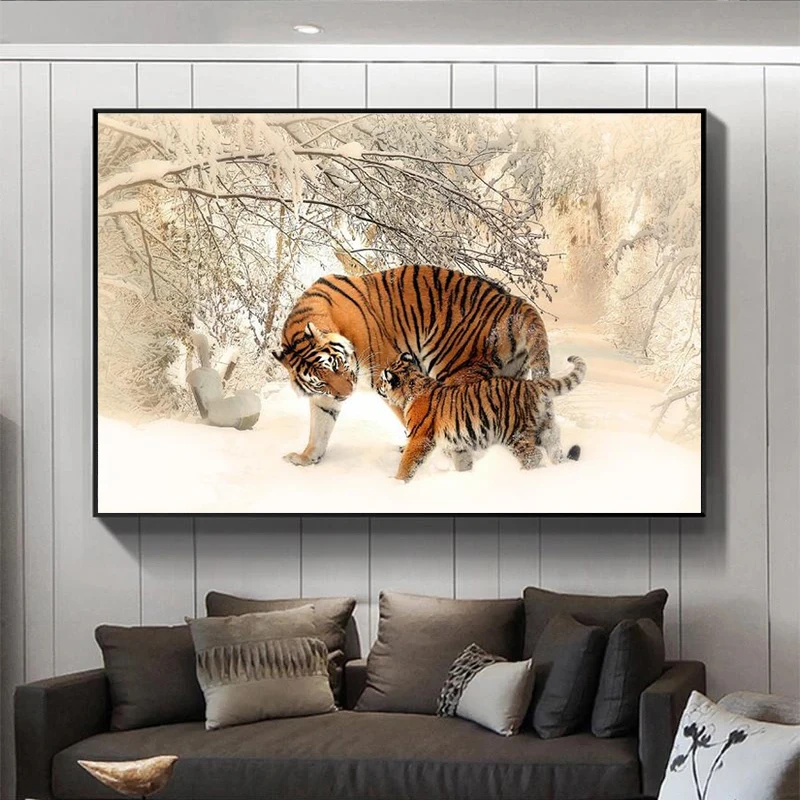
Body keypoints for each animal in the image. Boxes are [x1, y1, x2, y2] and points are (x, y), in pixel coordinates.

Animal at [273, 265, 550, 466]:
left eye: (338, 365)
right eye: (321, 381)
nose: (347, 395)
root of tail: (514, 302)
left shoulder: (385, 371)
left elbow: (410, 417)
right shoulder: (325, 396)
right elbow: (319, 426)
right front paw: (306, 458)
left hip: (456, 370)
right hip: (510, 377)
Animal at [377, 352, 586, 482]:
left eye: (382, 379)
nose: (377, 385)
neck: (413, 386)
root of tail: (533, 385)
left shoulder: (419, 438)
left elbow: (407, 463)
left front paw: (396, 483)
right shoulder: (458, 444)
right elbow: (463, 462)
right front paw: (464, 476)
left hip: (514, 434)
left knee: (533, 456)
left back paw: (523, 475)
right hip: (546, 429)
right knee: (554, 449)